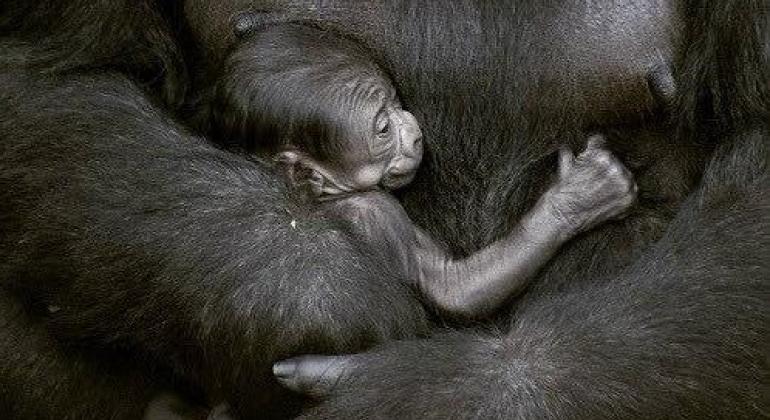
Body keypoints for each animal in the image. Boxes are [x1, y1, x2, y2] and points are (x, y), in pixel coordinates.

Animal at [204, 22, 636, 318]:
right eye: (382, 128)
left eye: (396, 101)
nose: (412, 132)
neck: (328, 194)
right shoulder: (377, 215)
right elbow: (452, 288)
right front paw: (578, 199)